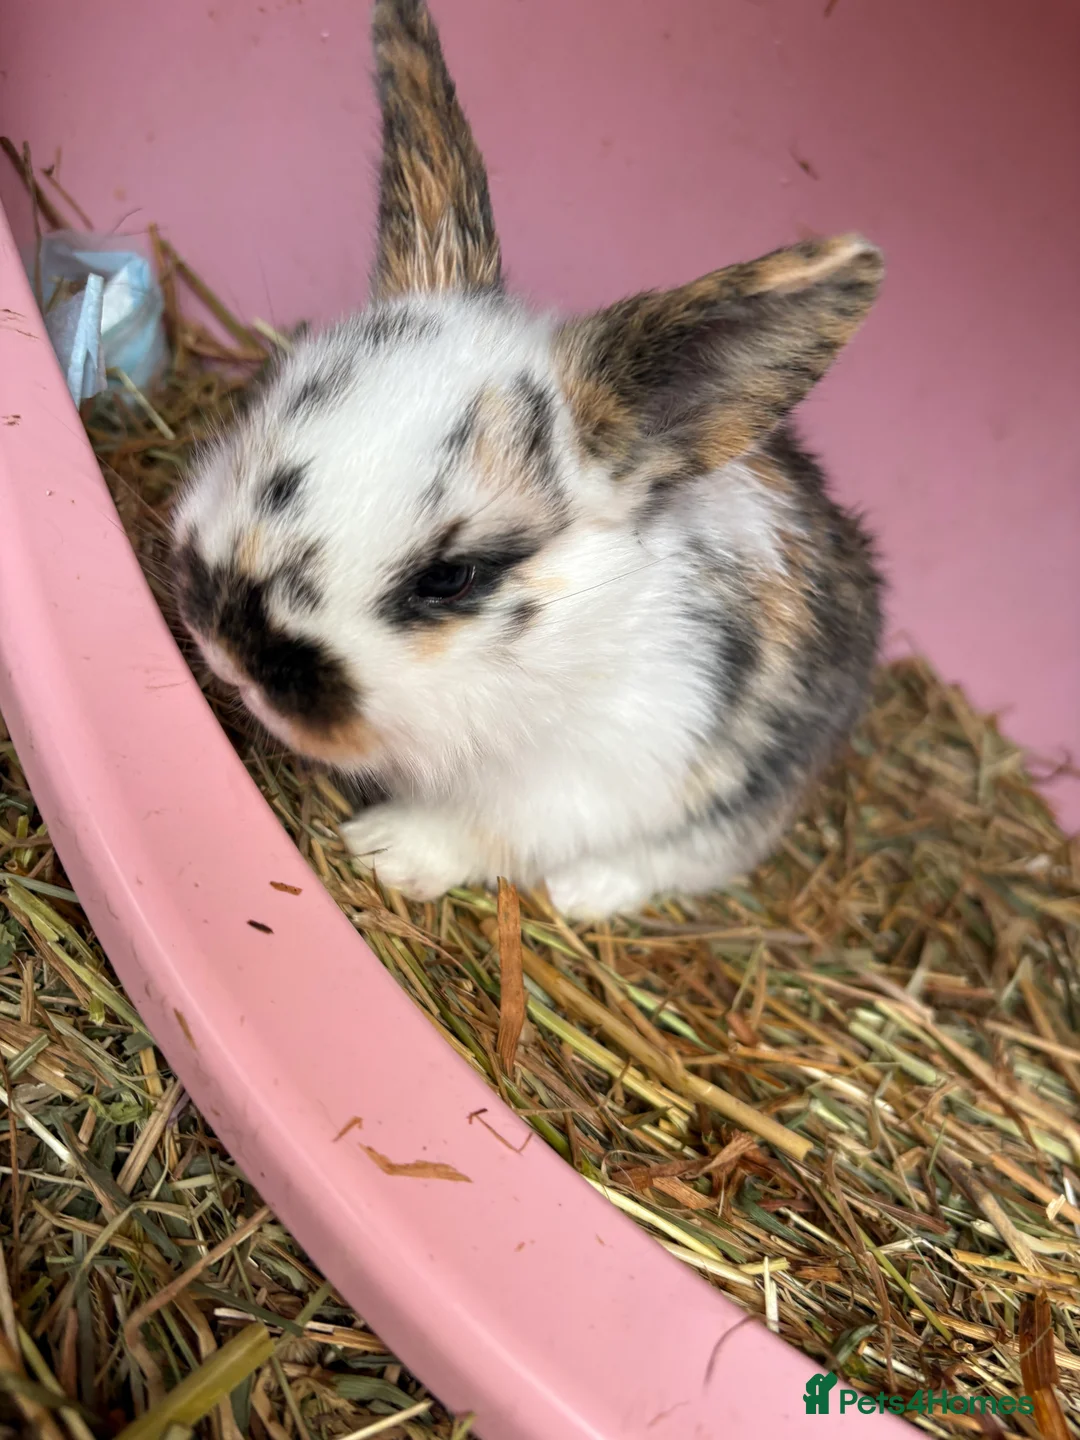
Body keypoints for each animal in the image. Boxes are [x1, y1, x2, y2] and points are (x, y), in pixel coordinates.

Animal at [171, 0, 884, 921]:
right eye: (268, 394)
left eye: (453, 577)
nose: (232, 647)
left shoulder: (584, 775)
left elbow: (482, 830)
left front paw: (385, 851)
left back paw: (582, 894)